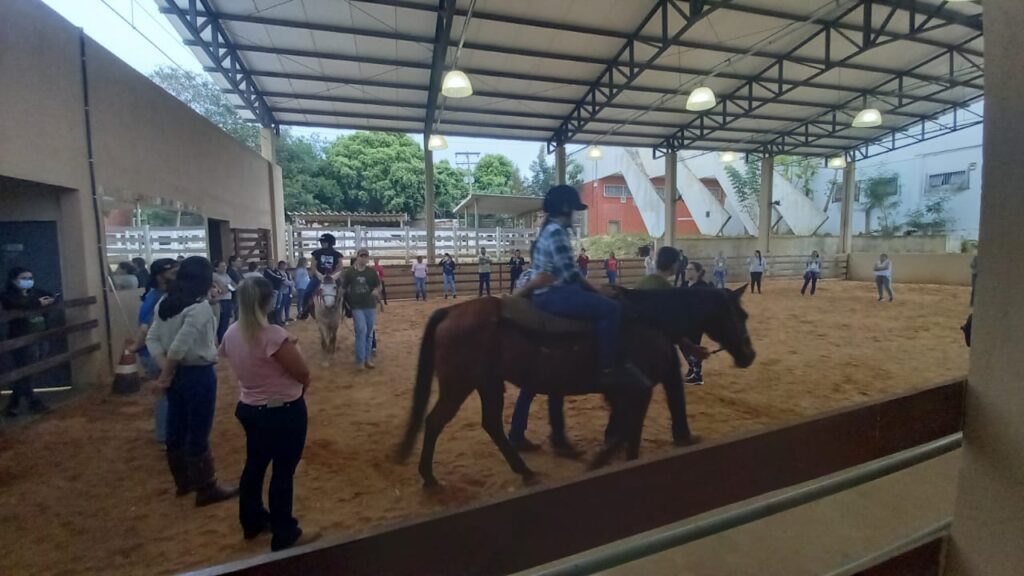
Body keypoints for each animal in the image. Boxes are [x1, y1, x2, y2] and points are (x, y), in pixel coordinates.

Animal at [395, 285, 755, 487]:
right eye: (740, 315)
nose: (749, 355)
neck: (647, 320)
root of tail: (451, 311)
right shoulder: (634, 391)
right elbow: (624, 431)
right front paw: (598, 463)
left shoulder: (632, 393)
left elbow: (629, 432)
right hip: (459, 385)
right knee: (435, 422)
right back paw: (430, 478)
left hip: (488, 383)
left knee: (491, 424)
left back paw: (525, 470)